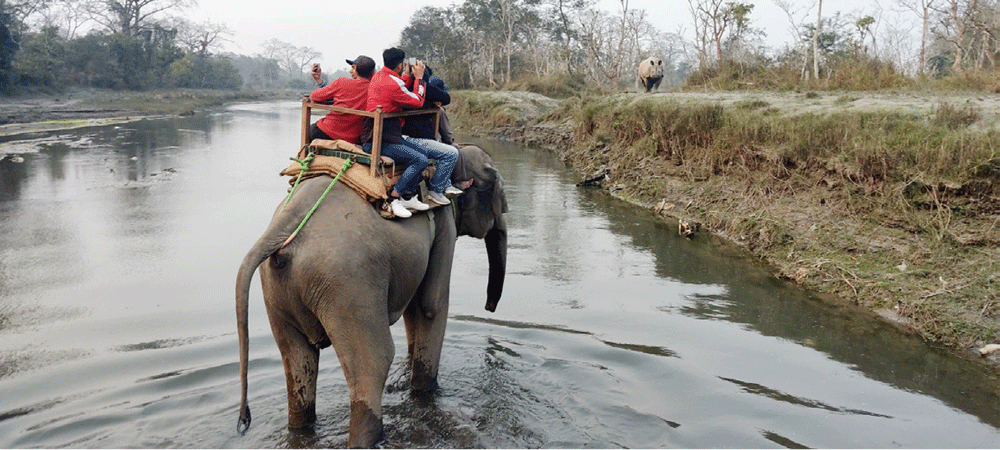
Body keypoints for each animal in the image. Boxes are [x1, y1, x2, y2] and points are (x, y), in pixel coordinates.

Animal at [235, 143, 508, 446]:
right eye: (497, 188)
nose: (490, 307)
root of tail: (284, 224)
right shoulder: (444, 225)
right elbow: (431, 305)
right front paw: (424, 393)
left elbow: (415, 308)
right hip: (348, 284)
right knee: (372, 362)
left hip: (278, 291)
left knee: (296, 359)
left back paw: (300, 429)